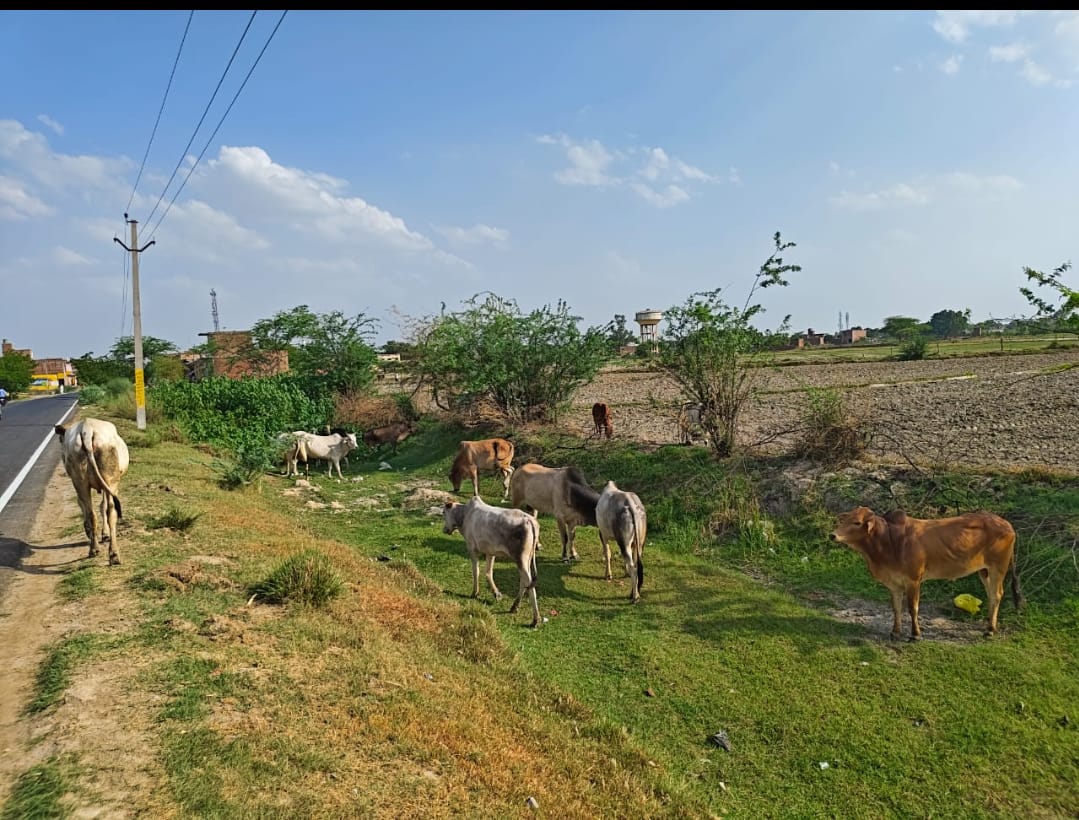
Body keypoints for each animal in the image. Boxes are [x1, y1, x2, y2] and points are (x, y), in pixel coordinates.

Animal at [53, 418, 129, 565]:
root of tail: (87, 429)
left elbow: (96, 506)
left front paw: (100, 533)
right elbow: (102, 506)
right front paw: (104, 534)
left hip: (81, 480)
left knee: (91, 513)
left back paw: (97, 549)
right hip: (110, 479)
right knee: (110, 512)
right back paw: (112, 553)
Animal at [438, 494, 539, 625]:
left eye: (444, 512)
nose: (445, 529)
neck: (464, 515)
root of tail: (529, 520)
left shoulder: (472, 548)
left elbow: (476, 572)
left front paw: (474, 593)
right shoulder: (490, 552)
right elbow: (488, 572)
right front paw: (496, 594)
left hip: (521, 558)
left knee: (528, 582)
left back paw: (535, 619)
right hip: (526, 559)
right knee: (525, 581)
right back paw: (514, 607)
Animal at [828, 507, 1022, 638]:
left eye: (857, 522)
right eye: (844, 520)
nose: (832, 535)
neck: (889, 541)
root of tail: (1008, 525)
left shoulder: (913, 580)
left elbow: (912, 608)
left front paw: (915, 634)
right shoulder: (894, 584)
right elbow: (896, 607)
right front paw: (895, 631)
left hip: (998, 568)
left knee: (997, 595)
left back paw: (990, 630)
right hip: (984, 571)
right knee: (991, 595)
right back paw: (990, 625)